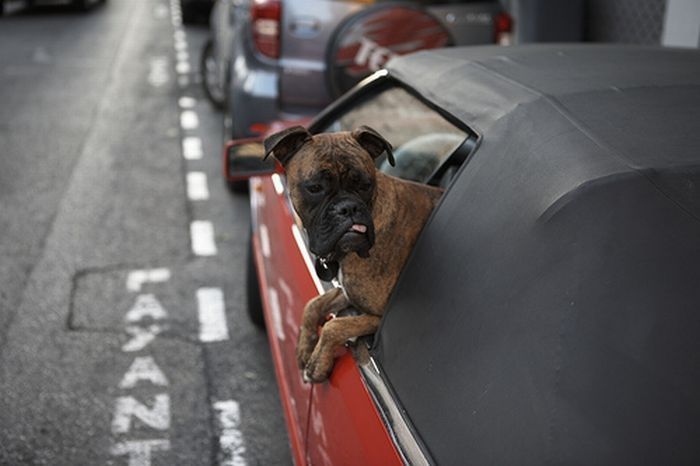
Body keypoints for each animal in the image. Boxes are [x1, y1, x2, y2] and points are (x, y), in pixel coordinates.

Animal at [266, 124, 440, 382]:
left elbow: (334, 326)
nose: (348, 208)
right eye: (315, 188)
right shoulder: (347, 292)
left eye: (365, 185)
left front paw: (317, 362)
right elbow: (313, 305)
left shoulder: (376, 316)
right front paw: (305, 347)